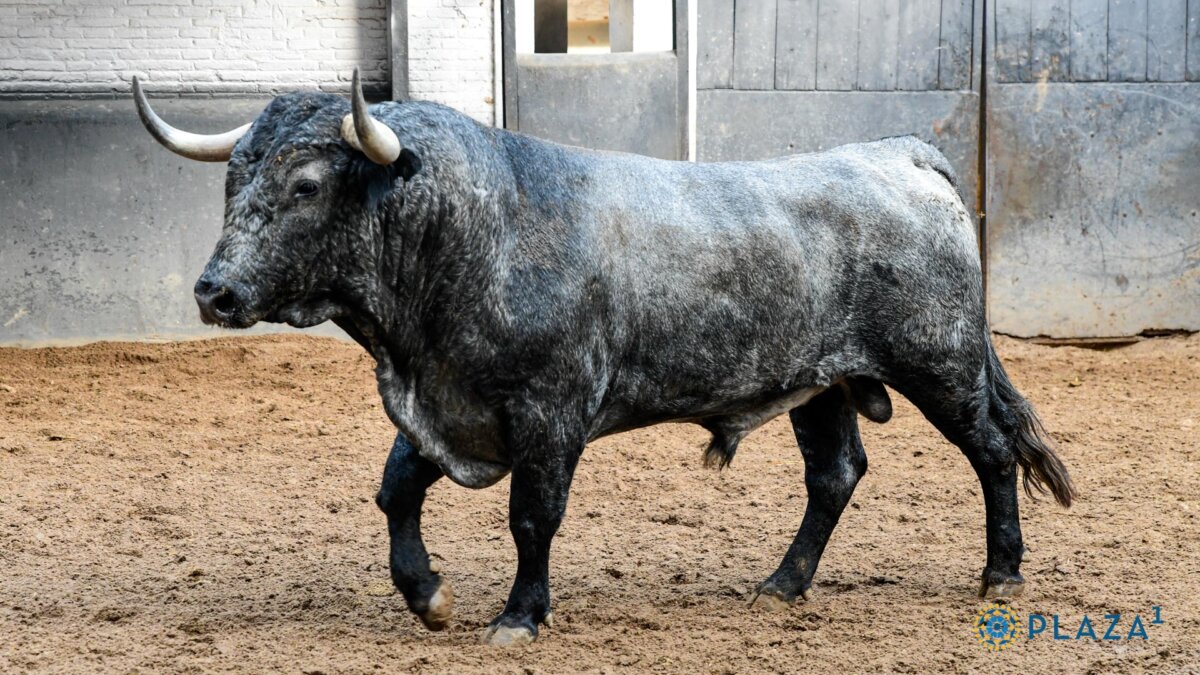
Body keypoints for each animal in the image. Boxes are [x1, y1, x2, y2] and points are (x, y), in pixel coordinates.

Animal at [133, 70, 1074, 646]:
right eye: (234, 179)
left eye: (306, 185)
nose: (215, 292)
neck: (479, 231)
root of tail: (897, 154)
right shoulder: (448, 405)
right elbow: (396, 490)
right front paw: (426, 593)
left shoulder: (549, 416)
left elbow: (531, 517)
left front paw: (519, 614)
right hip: (822, 386)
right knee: (835, 475)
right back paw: (782, 582)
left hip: (940, 366)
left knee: (992, 452)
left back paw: (1001, 574)